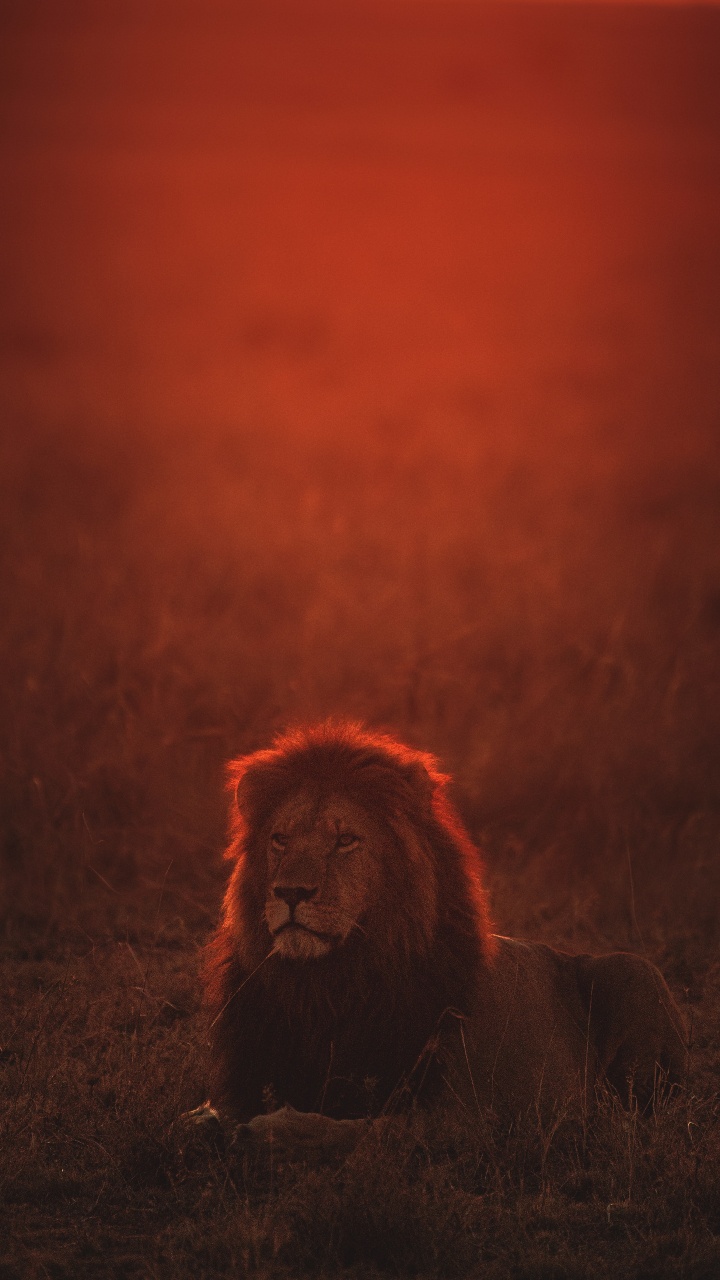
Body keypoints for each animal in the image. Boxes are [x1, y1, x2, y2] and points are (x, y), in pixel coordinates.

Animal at [198, 721, 686, 1148]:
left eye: (345, 841)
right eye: (280, 839)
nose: (290, 892)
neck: (325, 987)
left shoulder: (464, 1115)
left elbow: (363, 1129)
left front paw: (273, 1128)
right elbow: (206, 1114)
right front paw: (216, 1124)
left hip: (634, 971)